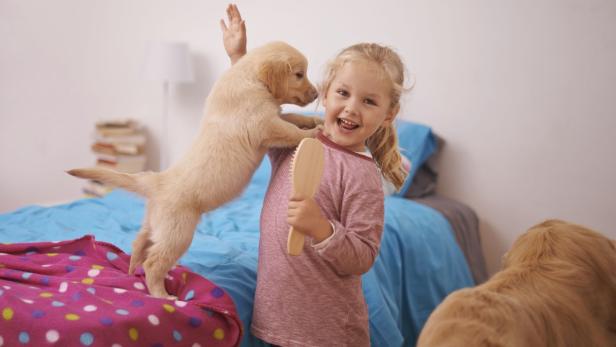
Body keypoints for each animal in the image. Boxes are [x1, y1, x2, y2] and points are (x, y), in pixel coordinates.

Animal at [68, 41, 322, 300]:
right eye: (299, 74)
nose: (316, 94)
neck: (249, 78)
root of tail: (156, 181)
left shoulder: (272, 116)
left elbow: (291, 116)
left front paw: (314, 122)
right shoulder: (265, 125)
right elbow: (291, 131)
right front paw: (314, 133)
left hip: (155, 223)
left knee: (139, 243)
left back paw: (130, 271)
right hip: (178, 234)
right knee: (154, 262)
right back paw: (161, 295)